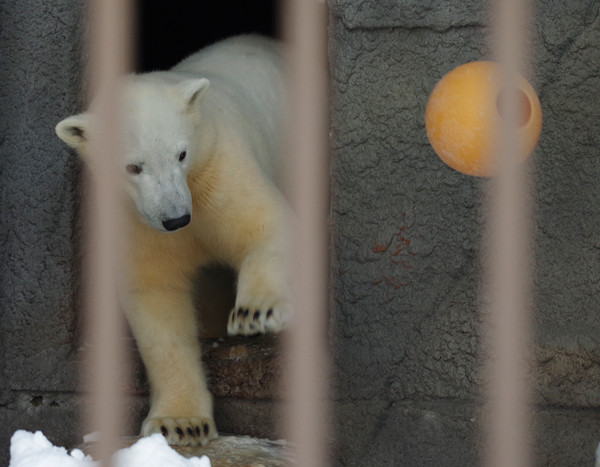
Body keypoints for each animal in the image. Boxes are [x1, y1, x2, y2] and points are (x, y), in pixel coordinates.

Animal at [55, 35, 292, 446]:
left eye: (181, 154)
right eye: (133, 167)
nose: (177, 218)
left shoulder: (217, 167)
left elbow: (265, 224)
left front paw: (254, 314)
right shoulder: (134, 218)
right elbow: (157, 299)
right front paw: (181, 423)